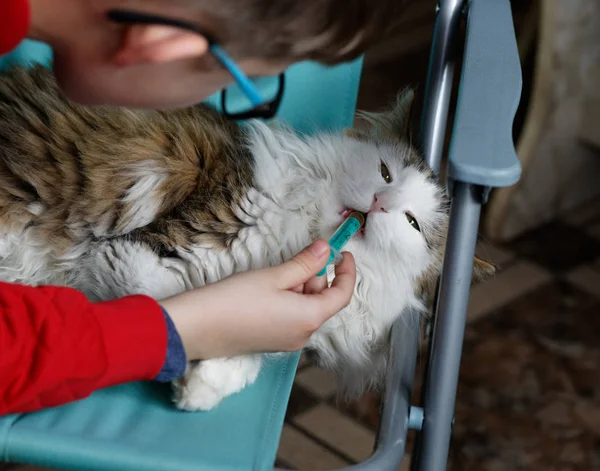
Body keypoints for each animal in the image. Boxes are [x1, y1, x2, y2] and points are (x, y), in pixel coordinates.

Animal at [0, 64, 494, 412]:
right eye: (385, 172)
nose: (380, 203)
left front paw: (202, 384)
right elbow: (167, 303)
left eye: (412, 224)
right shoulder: (134, 250)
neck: (293, 235)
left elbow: (243, 339)